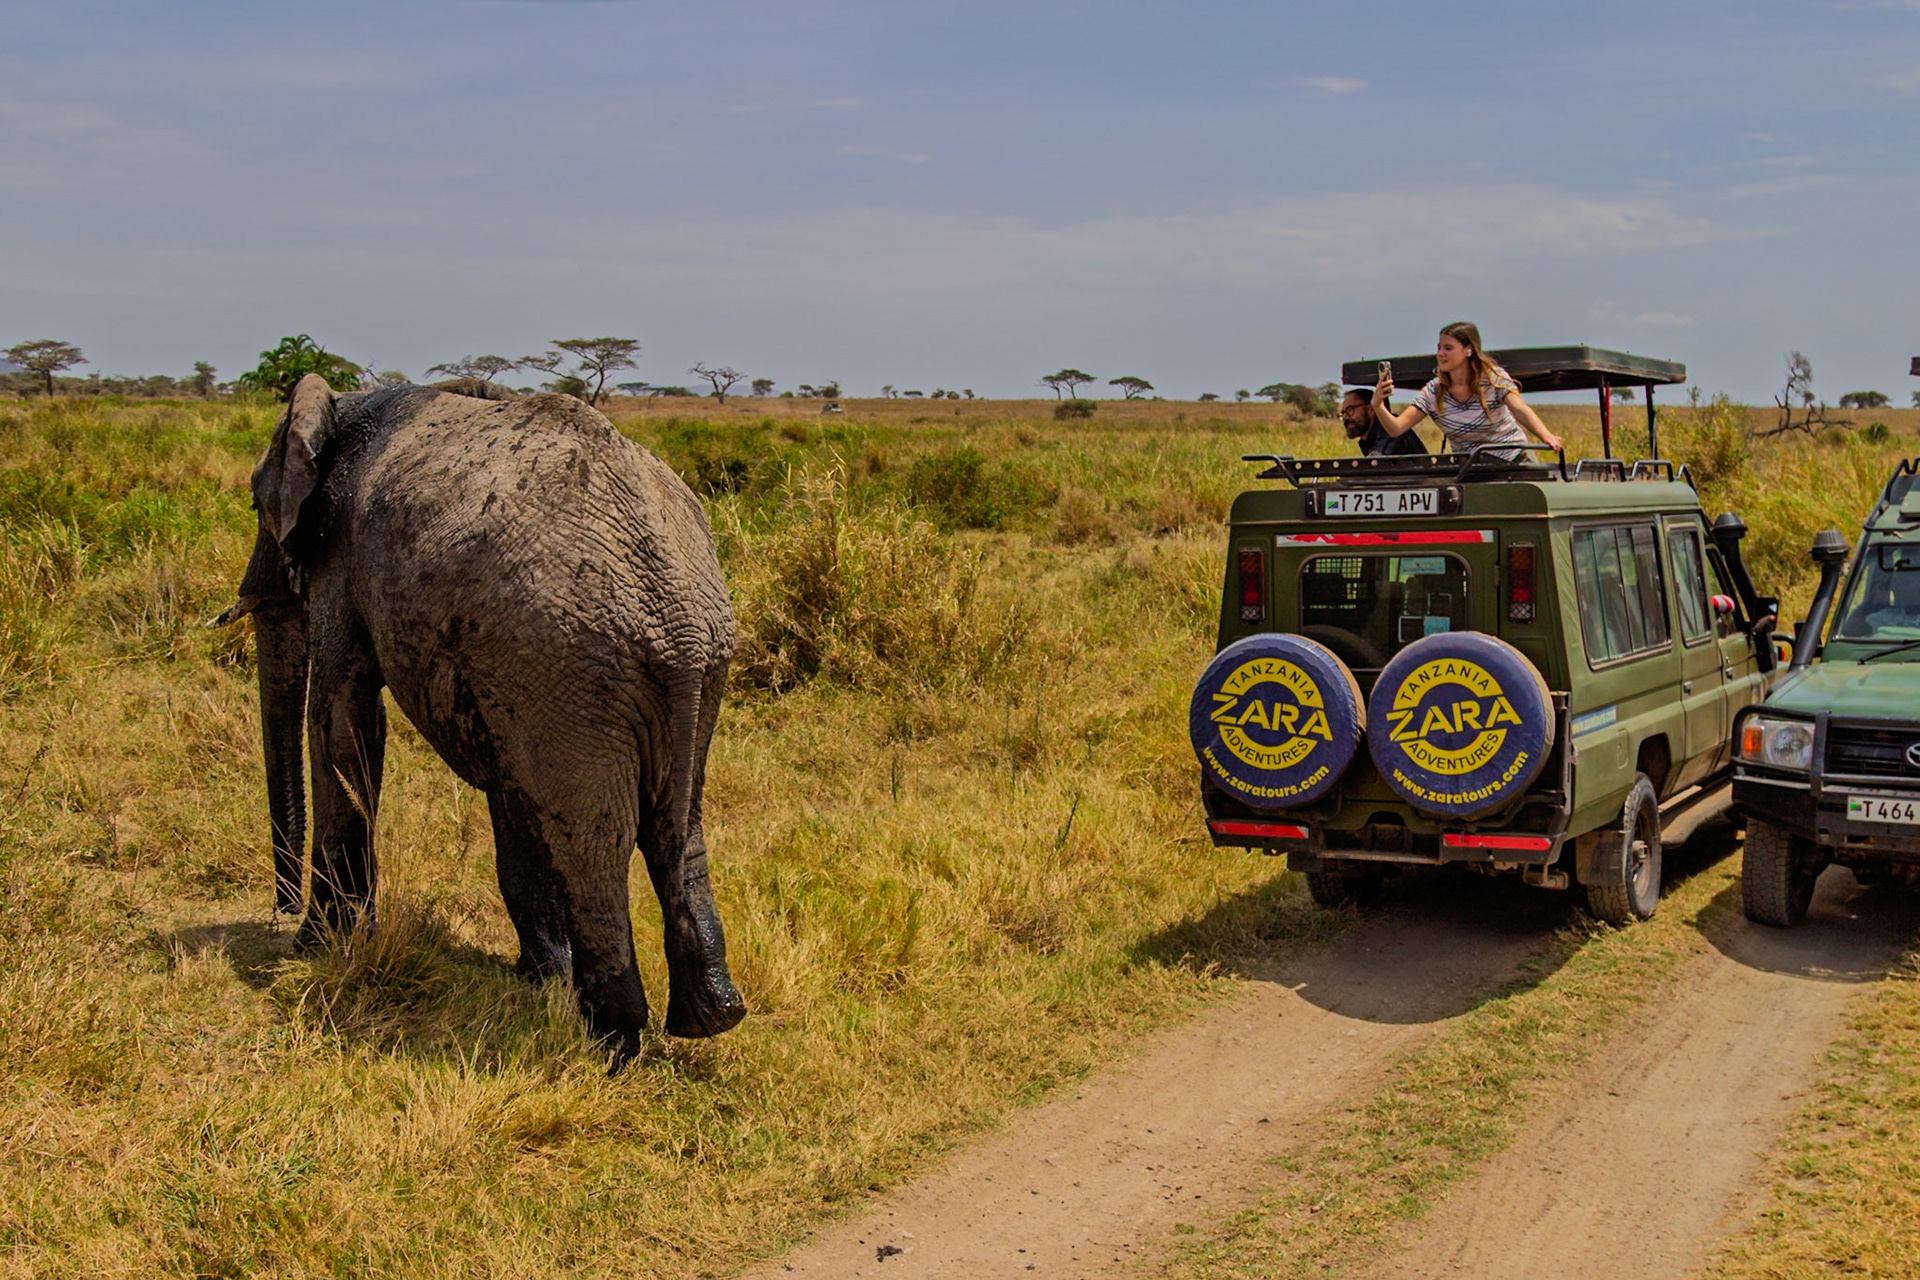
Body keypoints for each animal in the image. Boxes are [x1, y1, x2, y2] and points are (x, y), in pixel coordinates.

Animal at [217, 374, 746, 1063]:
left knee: (595, 836)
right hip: (686, 669)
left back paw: (613, 1038)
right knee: (669, 824)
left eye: (258, 505)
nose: (278, 917)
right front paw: (539, 976)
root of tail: (676, 615)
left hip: (569, 658)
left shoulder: (341, 561)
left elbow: (341, 719)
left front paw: (320, 948)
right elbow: (505, 785)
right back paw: (709, 1018)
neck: (345, 404)